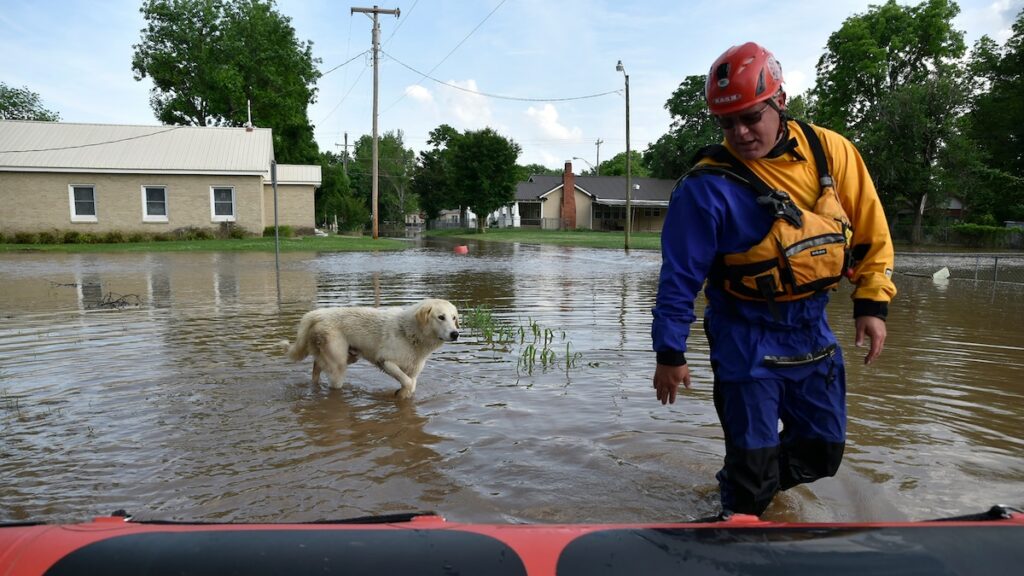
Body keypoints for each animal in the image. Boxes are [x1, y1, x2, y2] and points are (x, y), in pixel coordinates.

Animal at [280, 297, 456, 397]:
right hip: (339, 364)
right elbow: (406, 383)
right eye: (441, 317)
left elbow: (410, 385)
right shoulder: (386, 361)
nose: (456, 334)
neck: (410, 331)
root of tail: (316, 314)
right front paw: (400, 393)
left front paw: (401, 395)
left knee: (316, 365)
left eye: (454, 318)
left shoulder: (413, 373)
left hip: (350, 356)